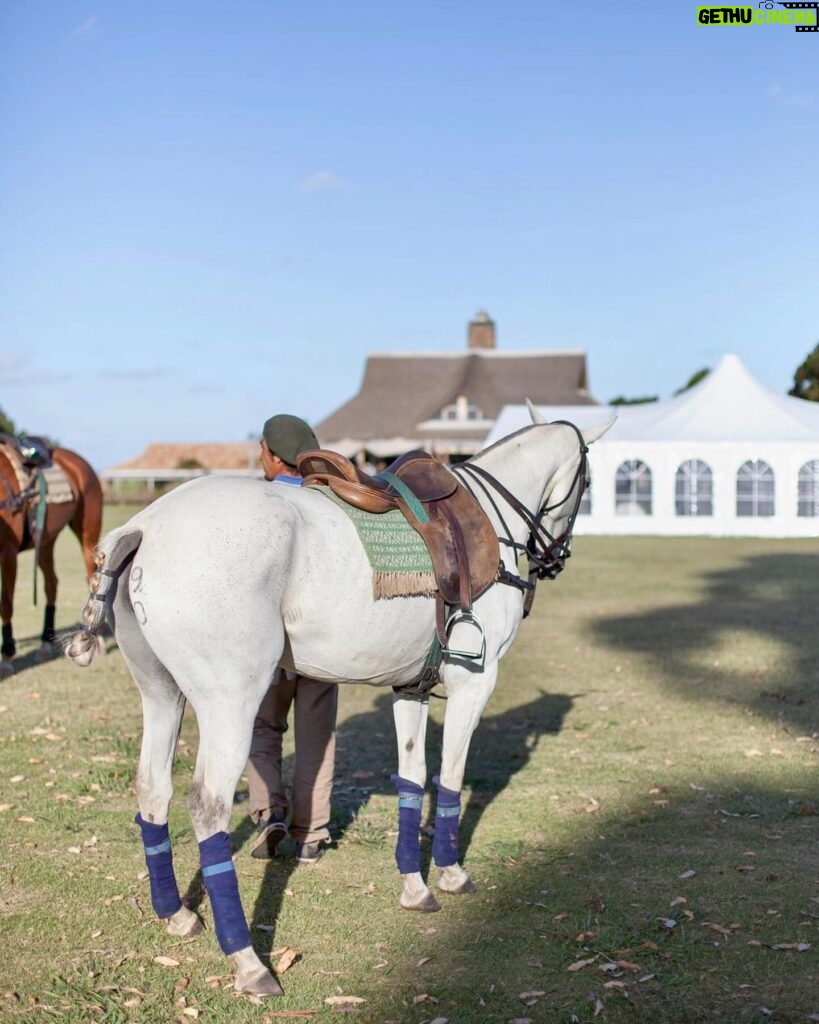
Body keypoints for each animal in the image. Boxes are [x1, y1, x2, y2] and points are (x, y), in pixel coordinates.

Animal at [0, 442, 103, 675]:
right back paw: (46, 643)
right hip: (46, 540)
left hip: (88, 535)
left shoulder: (8, 552)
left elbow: (6, 602)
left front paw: (7, 656)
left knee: (94, 577)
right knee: (51, 584)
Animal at [63, 411, 610, 995]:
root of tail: (143, 527)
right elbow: (451, 780)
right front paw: (451, 874)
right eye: (588, 483)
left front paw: (414, 885)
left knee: (153, 788)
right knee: (208, 806)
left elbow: (413, 777)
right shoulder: (473, 683)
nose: (556, 557)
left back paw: (177, 916)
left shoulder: (411, 687)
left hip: (161, 692)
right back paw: (249, 962)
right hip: (231, 699)